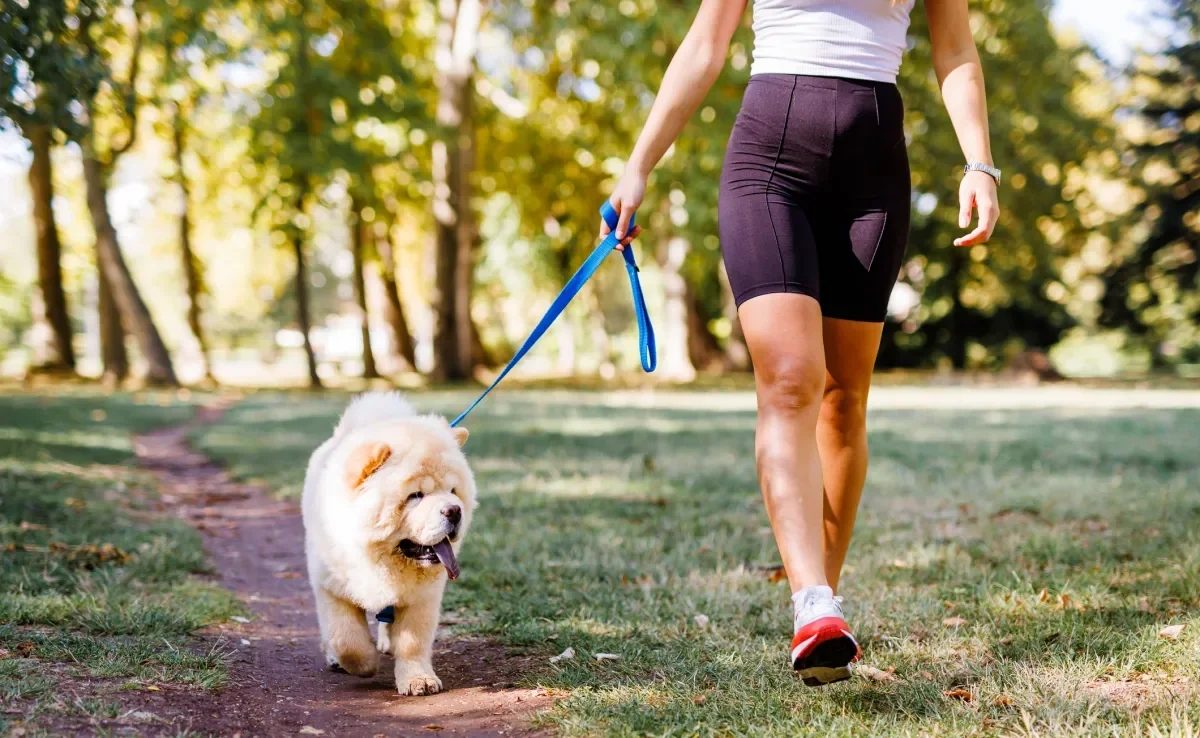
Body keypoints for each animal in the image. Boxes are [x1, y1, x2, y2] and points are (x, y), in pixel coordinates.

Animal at [302, 388, 475, 696]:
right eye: (415, 495)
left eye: (453, 491)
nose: (454, 510)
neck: (381, 558)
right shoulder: (331, 588)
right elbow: (347, 639)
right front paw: (364, 663)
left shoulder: (421, 598)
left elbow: (412, 643)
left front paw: (419, 680)